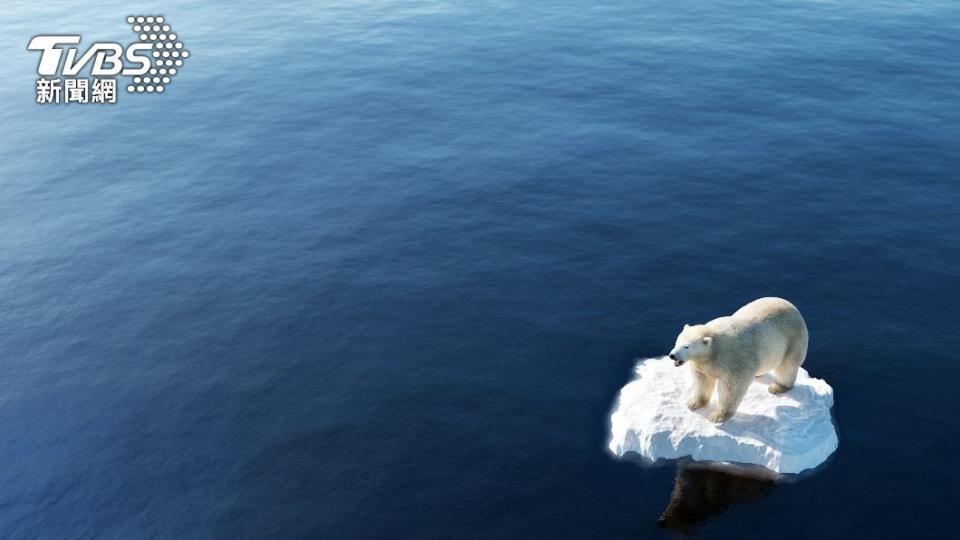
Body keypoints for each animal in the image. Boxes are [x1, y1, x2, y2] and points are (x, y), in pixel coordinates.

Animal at [668, 298, 808, 424]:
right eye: (677, 341)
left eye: (686, 346)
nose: (672, 355)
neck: (714, 347)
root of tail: (794, 308)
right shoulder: (702, 364)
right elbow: (702, 381)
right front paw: (694, 403)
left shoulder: (736, 360)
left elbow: (731, 388)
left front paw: (717, 416)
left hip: (793, 339)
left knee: (787, 366)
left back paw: (778, 387)